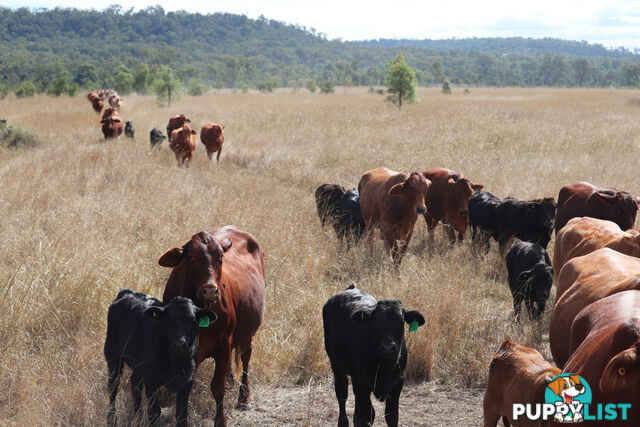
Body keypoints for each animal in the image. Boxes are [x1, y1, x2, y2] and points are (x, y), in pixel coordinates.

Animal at [159, 226, 266, 426]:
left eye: (220, 257)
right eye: (191, 257)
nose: (210, 290)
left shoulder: (223, 344)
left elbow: (217, 387)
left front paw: (220, 421)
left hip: (248, 333)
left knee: (246, 358)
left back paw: (244, 398)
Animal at [324, 284, 424, 427]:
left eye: (401, 322)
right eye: (376, 323)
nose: (388, 347)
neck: (384, 366)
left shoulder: (398, 382)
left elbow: (391, 416)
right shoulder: (361, 382)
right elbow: (365, 416)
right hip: (336, 365)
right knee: (342, 394)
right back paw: (343, 422)